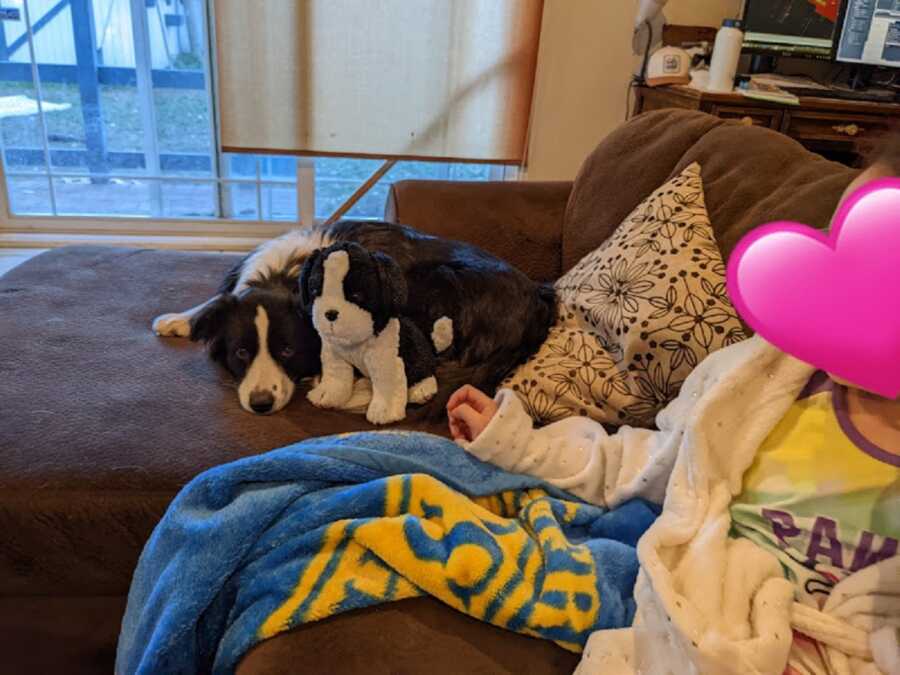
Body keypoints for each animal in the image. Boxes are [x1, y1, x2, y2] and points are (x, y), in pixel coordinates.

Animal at [153, 219, 556, 414]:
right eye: (241, 353)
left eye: (287, 351)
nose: (261, 405)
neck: (286, 274)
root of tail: (538, 299)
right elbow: (216, 302)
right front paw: (180, 319)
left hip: (434, 280)